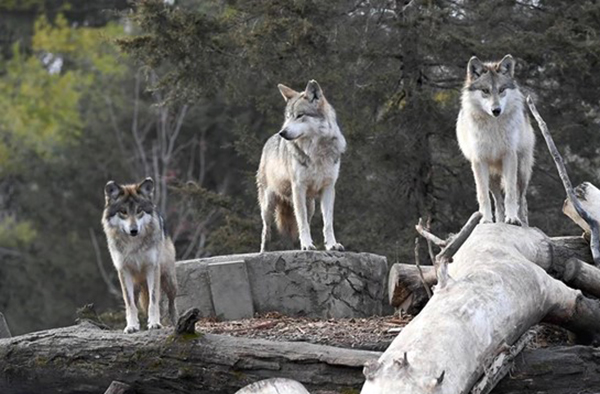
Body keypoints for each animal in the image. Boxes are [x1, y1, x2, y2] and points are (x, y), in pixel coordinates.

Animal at [102, 177, 178, 334]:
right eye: (123, 211)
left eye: (139, 211)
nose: (134, 230)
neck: (133, 245)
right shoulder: (123, 271)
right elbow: (130, 304)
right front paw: (131, 326)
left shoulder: (152, 268)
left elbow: (154, 300)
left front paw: (154, 323)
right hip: (137, 285)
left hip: (168, 280)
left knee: (172, 303)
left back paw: (175, 322)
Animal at [256, 80, 346, 252]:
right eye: (288, 117)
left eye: (299, 115)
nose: (282, 132)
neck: (316, 151)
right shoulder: (298, 187)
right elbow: (302, 222)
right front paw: (307, 245)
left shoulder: (329, 188)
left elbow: (327, 223)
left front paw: (331, 245)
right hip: (268, 205)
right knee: (266, 231)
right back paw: (263, 251)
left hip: (310, 205)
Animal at [458, 55, 536, 228]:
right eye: (485, 91)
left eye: (501, 90)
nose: (496, 110)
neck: (493, 127)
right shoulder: (479, 161)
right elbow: (483, 196)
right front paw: (486, 220)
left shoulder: (509, 157)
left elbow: (511, 194)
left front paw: (512, 218)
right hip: (492, 177)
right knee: (498, 201)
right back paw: (499, 221)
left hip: (522, 171)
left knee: (522, 199)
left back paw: (523, 223)